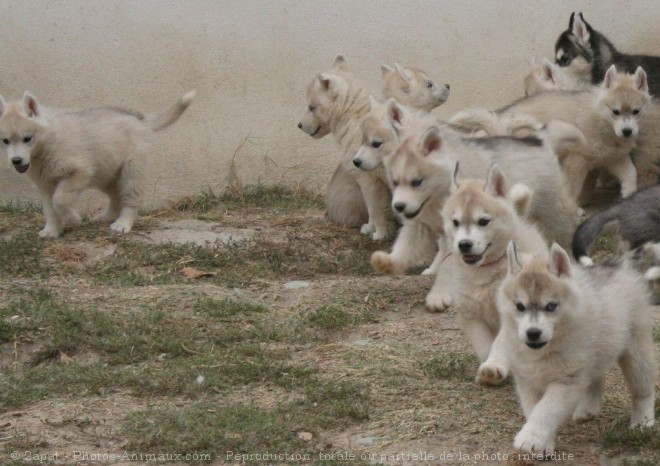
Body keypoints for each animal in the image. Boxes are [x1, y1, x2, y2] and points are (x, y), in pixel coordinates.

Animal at [0, 90, 195, 238]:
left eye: (27, 139)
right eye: (5, 141)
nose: (16, 161)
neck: (47, 143)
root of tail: (141, 120)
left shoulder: (79, 173)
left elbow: (60, 201)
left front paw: (73, 219)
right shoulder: (46, 186)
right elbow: (50, 209)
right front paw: (51, 231)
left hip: (130, 172)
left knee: (130, 200)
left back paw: (123, 224)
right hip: (107, 173)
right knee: (115, 197)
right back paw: (106, 217)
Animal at [438, 164, 548, 364]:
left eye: (483, 221)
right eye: (455, 222)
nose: (464, 244)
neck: (483, 270)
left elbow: (500, 344)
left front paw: (495, 364)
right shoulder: (471, 316)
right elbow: (484, 347)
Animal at [480, 242, 656, 454]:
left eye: (551, 306)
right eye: (520, 306)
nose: (533, 333)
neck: (545, 351)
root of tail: (617, 266)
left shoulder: (566, 382)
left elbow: (546, 409)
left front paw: (531, 438)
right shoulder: (528, 380)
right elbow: (534, 409)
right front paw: (543, 443)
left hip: (636, 352)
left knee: (643, 390)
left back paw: (643, 423)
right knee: (596, 375)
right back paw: (588, 409)